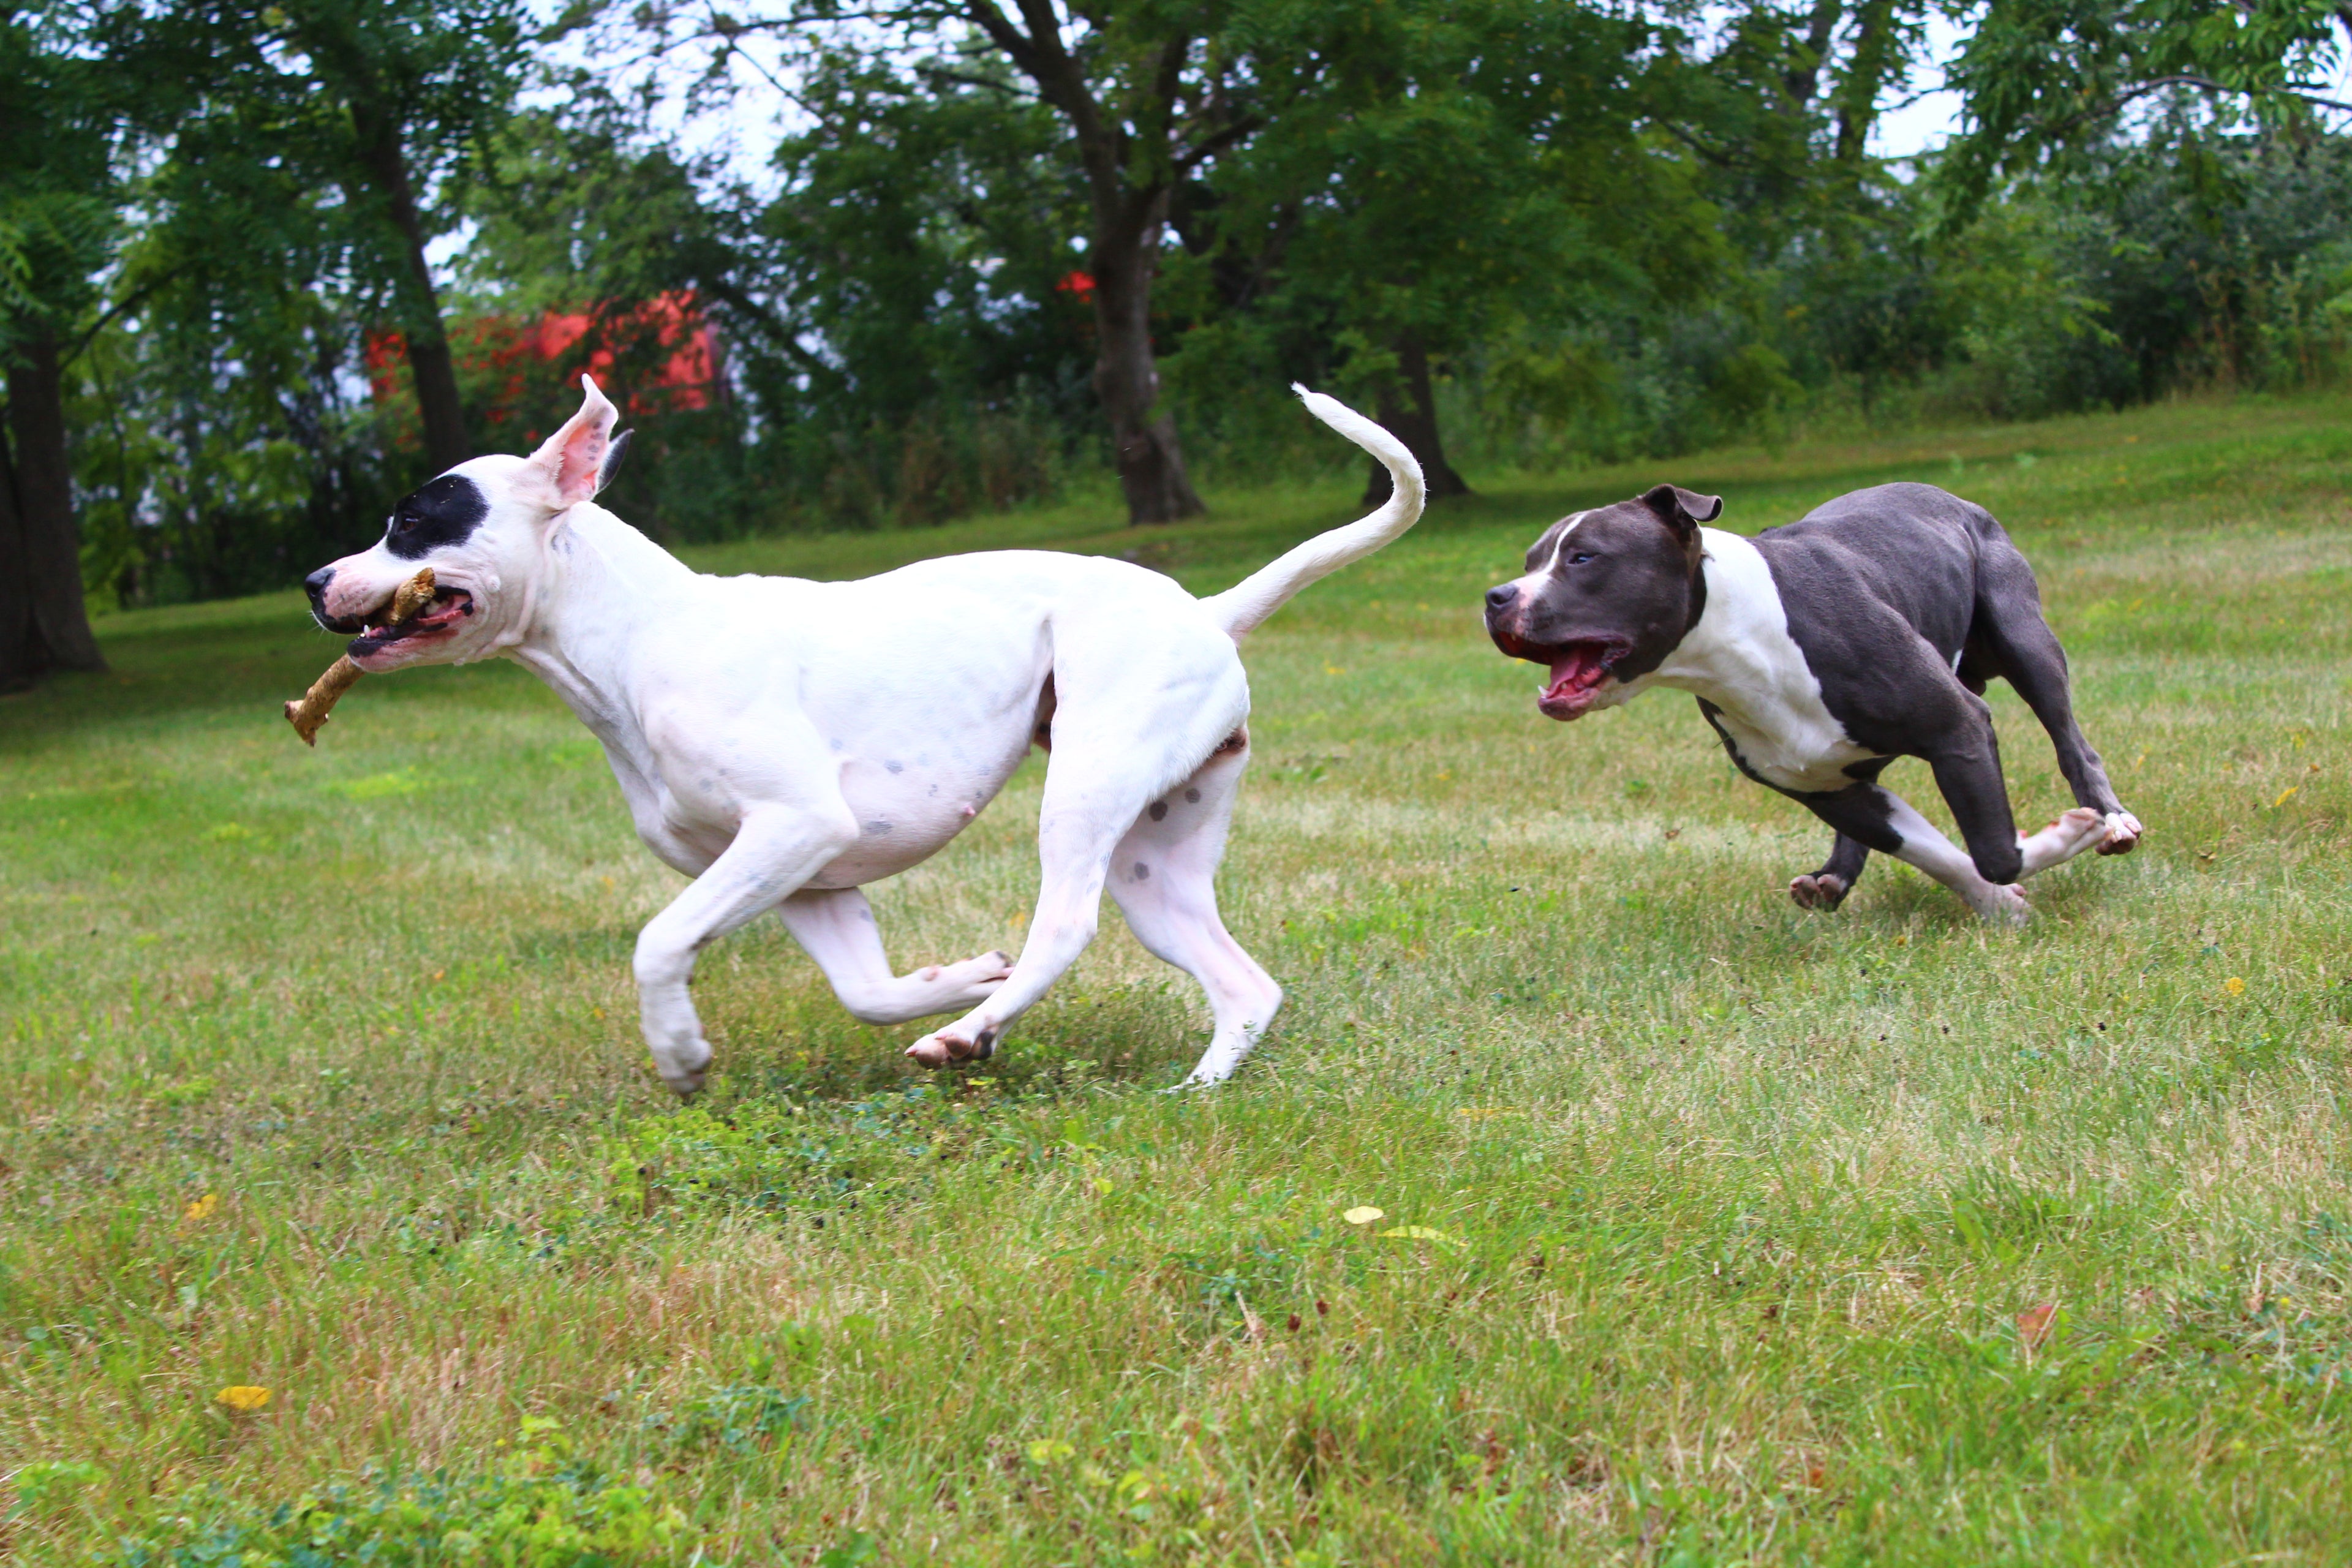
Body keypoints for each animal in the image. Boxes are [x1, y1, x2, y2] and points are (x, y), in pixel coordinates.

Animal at [303, 380, 1420, 1090]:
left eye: (414, 523)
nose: (315, 580)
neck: (638, 638)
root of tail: (1209, 612)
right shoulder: (811, 878)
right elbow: (867, 992)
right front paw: (954, 980)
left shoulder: (794, 827)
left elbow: (659, 941)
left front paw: (681, 1053)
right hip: (1159, 868)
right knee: (1244, 985)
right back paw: (1183, 1081)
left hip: (1089, 790)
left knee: (1066, 925)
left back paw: (971, 1038)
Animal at [1496, 479, 2145, 921]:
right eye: (1530, 561)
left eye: (1584, 557)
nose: (1497, 596)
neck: (1739, 638)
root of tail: (1948, 496)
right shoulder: (1822, 789)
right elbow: (1934, 852)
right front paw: (1997, 902)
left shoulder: (1958, 728)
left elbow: (1995, 850)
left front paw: (2065, 838)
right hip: (1846, 759)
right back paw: (1832, 879)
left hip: (2025, 638)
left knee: (2072, 742)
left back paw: (2111, 820)